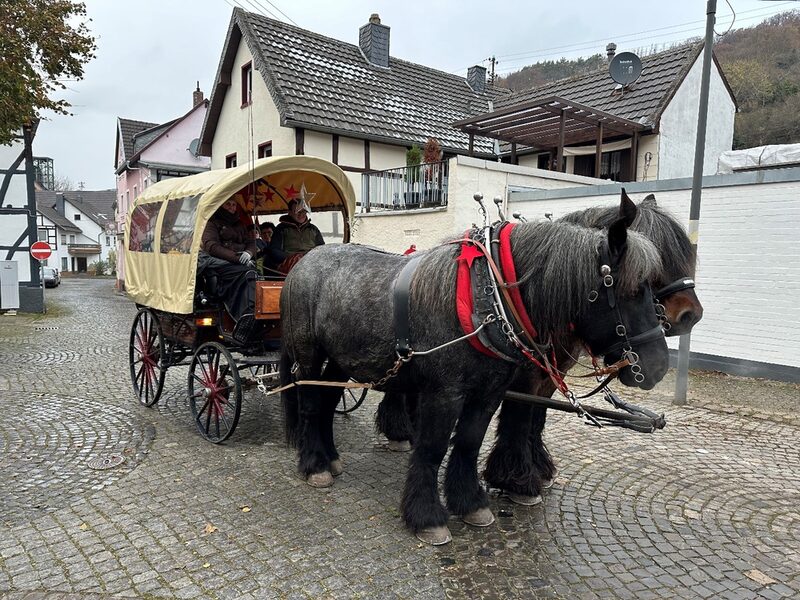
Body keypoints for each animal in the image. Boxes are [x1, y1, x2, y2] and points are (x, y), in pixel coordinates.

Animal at [282, 195, 668, 548]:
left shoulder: (488, 393)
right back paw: (314, 465)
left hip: (342, 360)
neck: (485, 300)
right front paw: (427, 516)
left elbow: (469, 442)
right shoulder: (444, 393)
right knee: (311, 405)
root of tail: (305, 263)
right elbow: (433, 448)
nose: (658, 366)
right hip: (310, 355)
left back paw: (330, 458)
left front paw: (470, 503)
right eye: (633, 289)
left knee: (327, 402)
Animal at [378, 190, 704, 508]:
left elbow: (537, 421)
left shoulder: (547, 377)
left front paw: (537, 468)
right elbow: (520, 420)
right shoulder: (523, 379)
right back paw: (399, 430)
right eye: (658, 260)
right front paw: (516, 480)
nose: (691, 315)